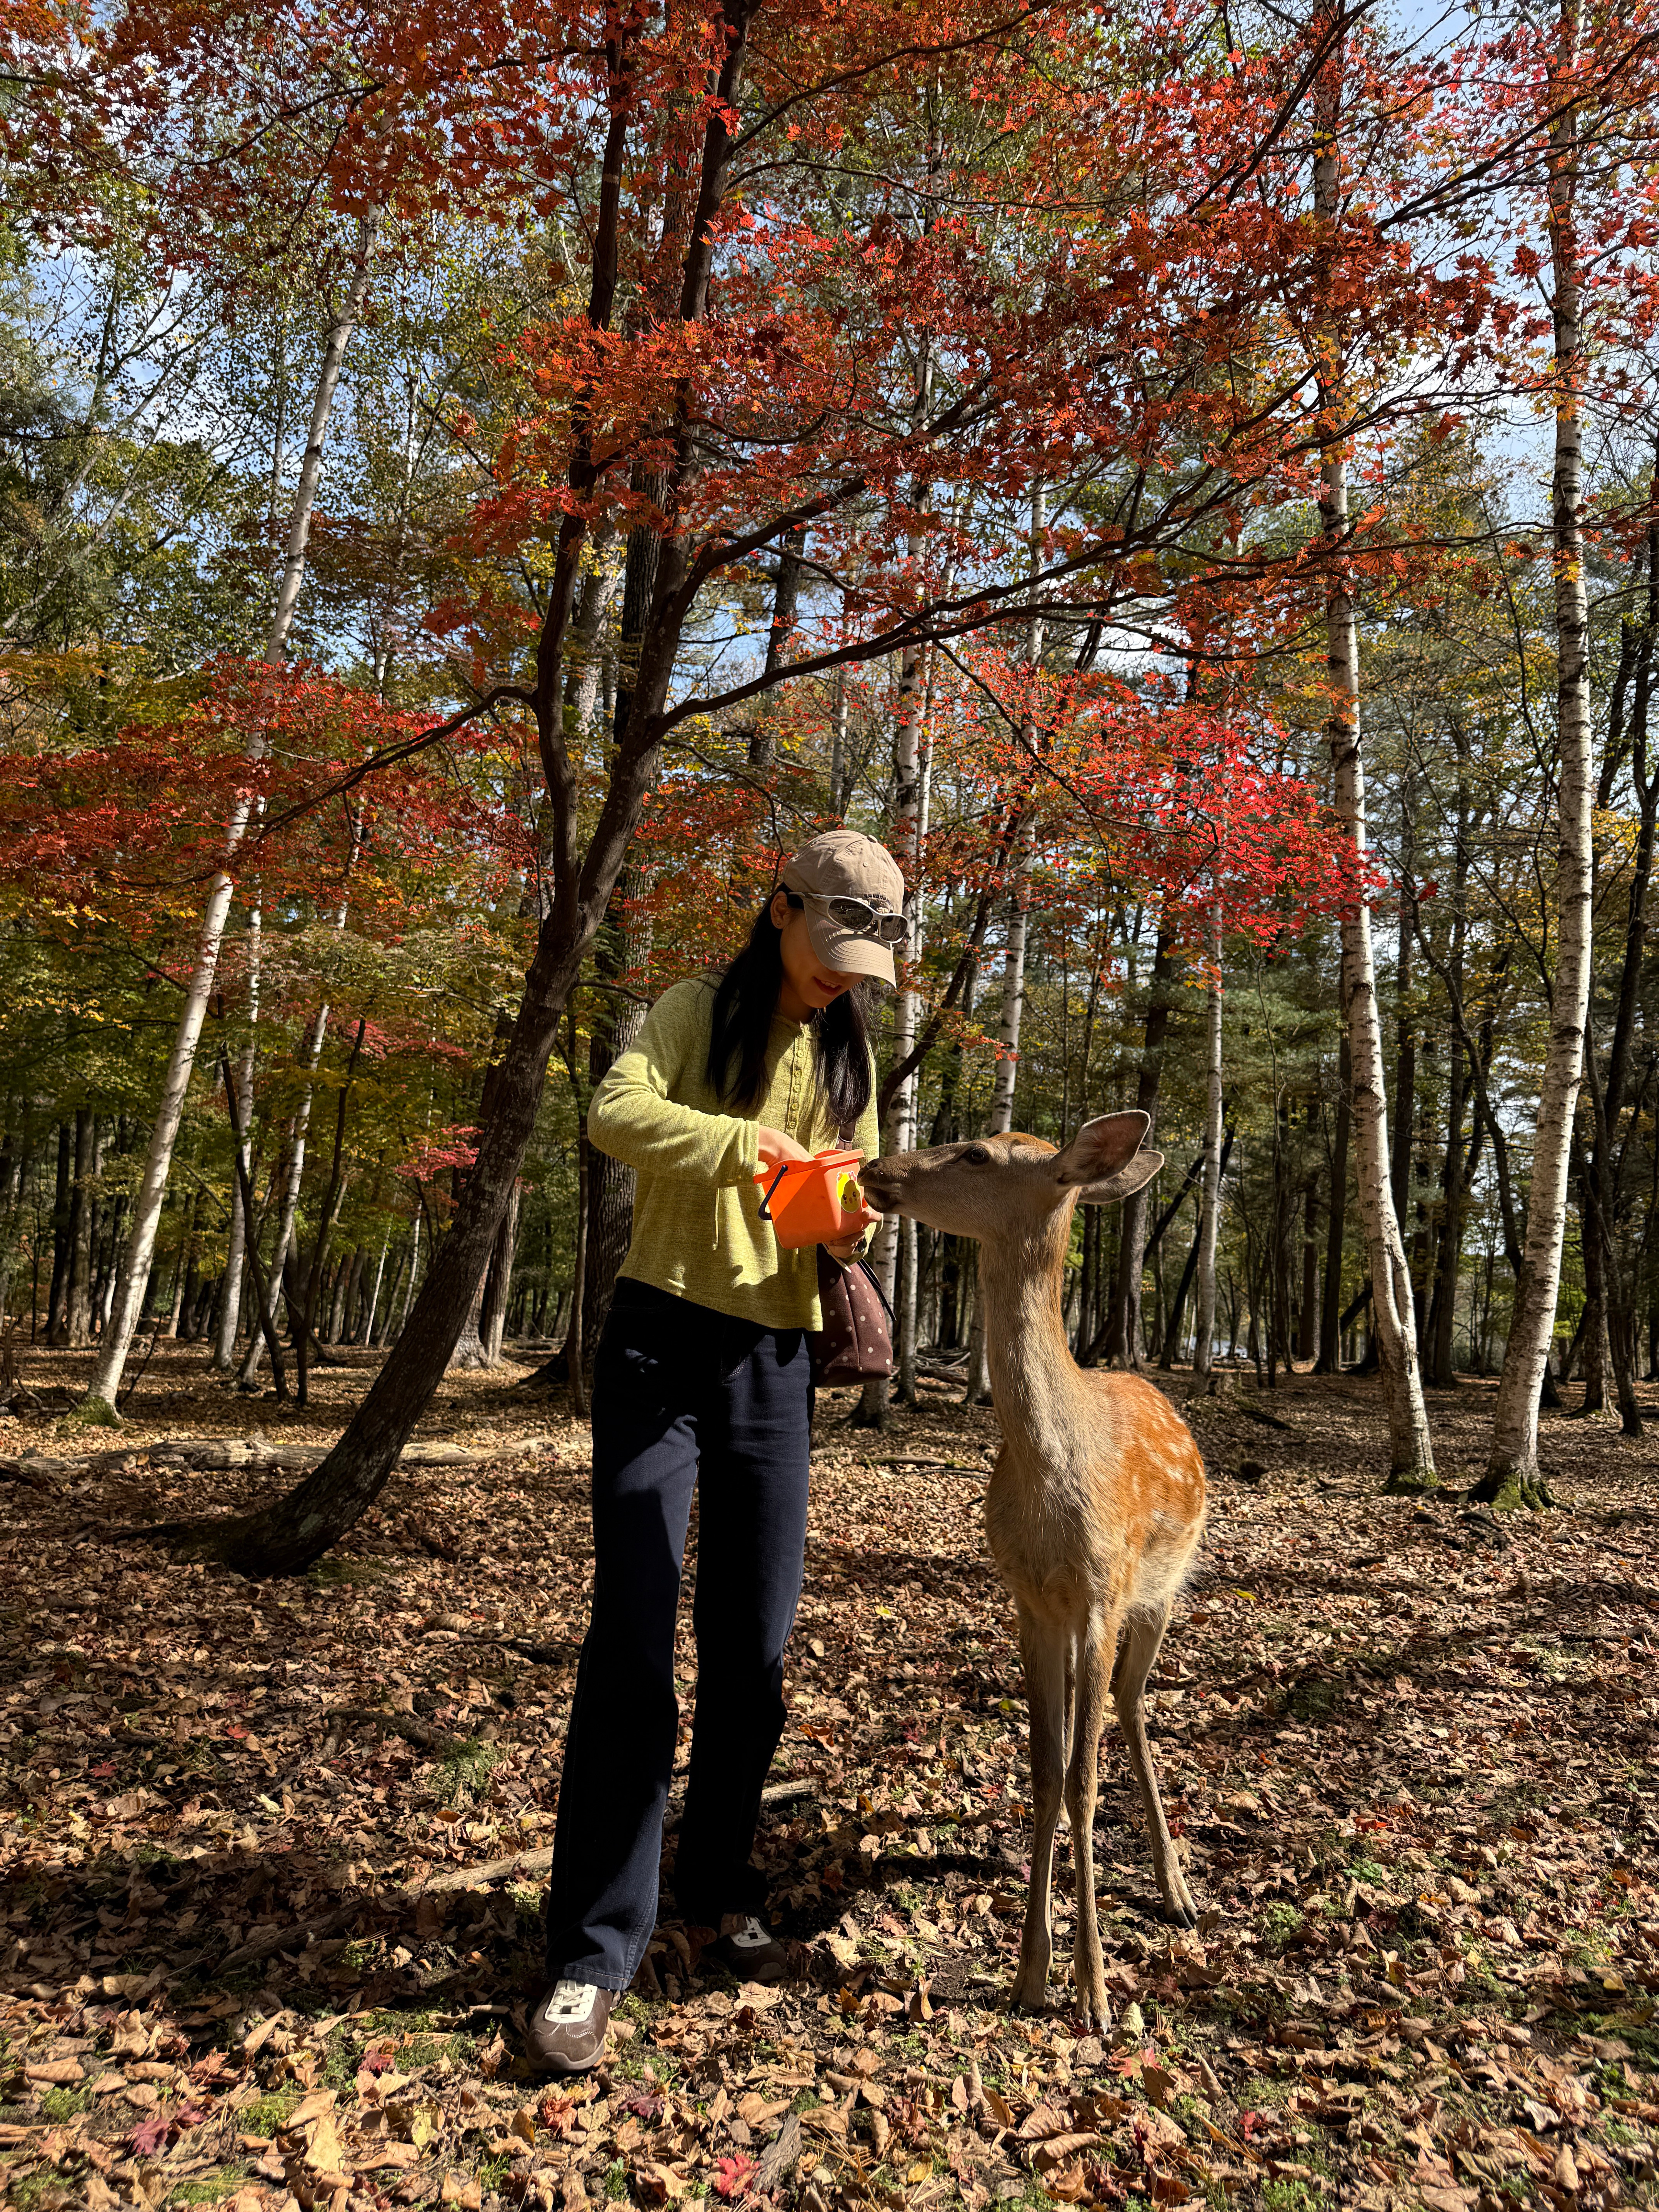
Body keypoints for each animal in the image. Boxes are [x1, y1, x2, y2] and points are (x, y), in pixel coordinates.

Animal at [859, 1110, 1206, 2030]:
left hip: (1163, 1590)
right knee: (1120, 1702)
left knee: (1132, 1703)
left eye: (978, 1153)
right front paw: (1029, 1971)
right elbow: (1046, 1774)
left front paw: (1094, 1990)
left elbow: (1083, 1781)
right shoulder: (1027, 1601)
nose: (874, 1169)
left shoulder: (1101, 1593)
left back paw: (1177, 1888)